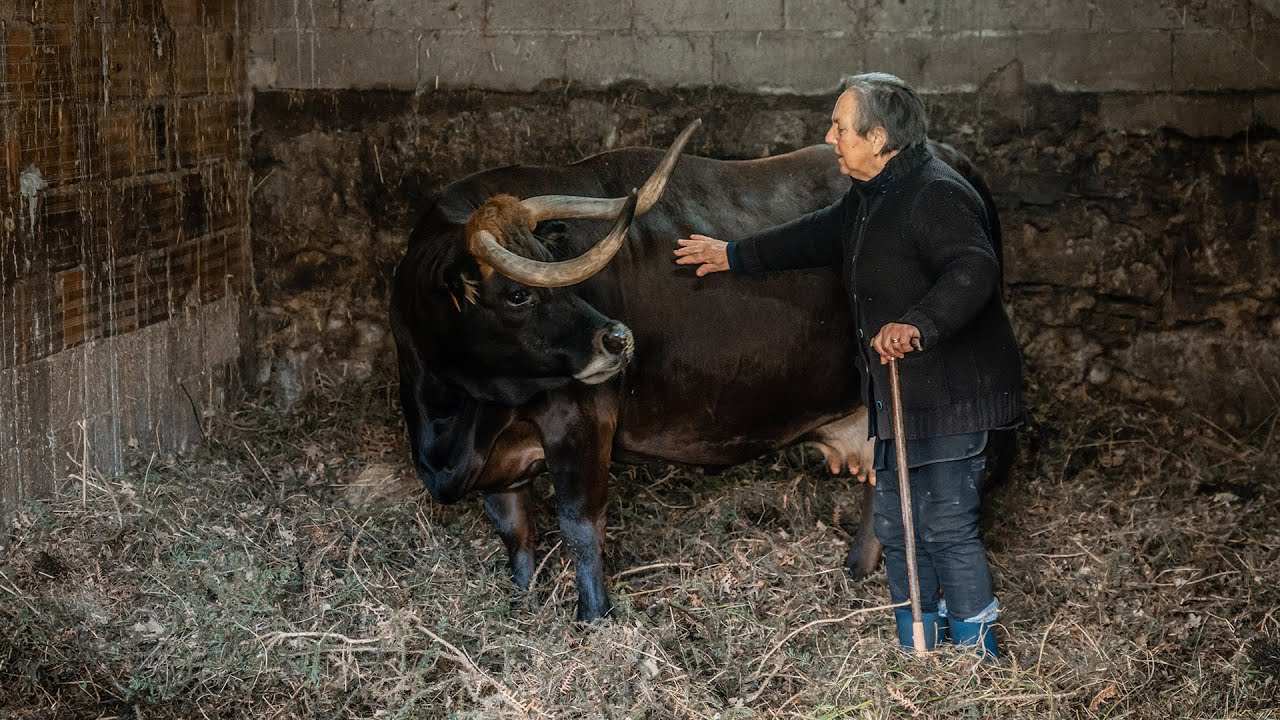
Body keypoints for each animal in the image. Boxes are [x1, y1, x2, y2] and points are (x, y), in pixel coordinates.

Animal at [390, 121, 1004, 621]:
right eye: (517, 294)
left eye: (550, 269)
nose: (618, 340)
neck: (456, 419)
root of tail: (948, 154)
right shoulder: (501, 468)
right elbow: (516, 534)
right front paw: (522, 604)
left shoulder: (580, 421)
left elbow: (580, 526)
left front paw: (594, 620)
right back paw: (859, 574)